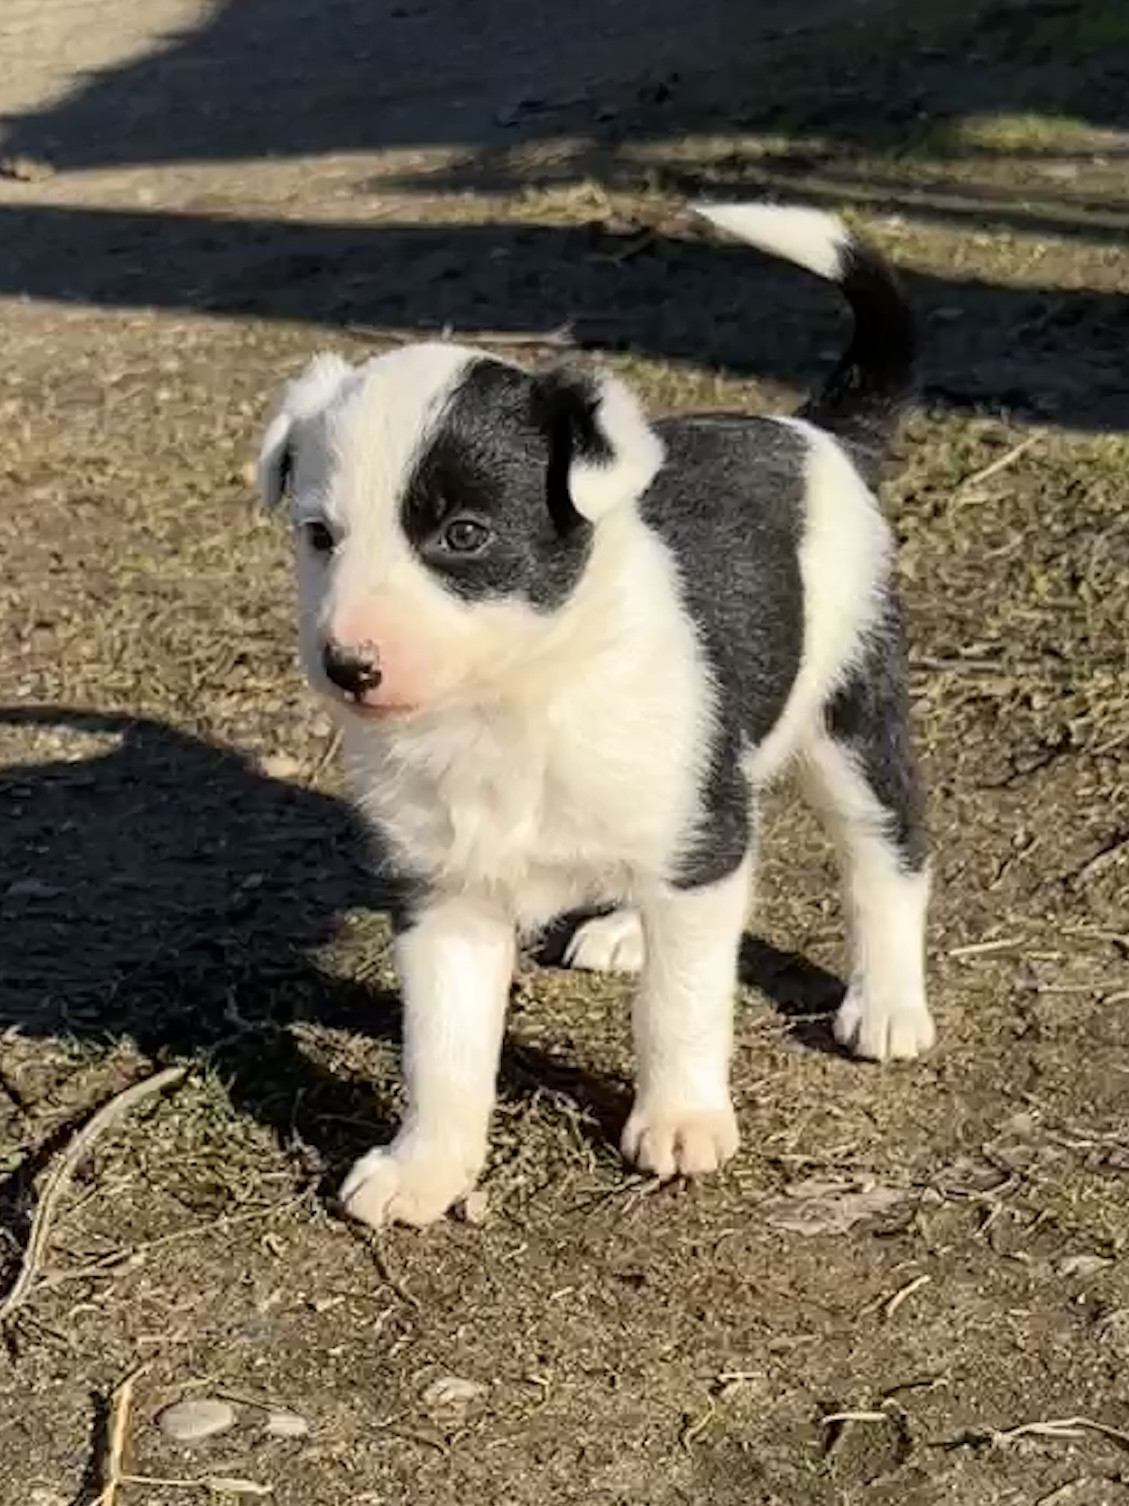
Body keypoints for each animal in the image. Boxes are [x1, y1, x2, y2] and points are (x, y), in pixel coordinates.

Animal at [258, 200, 939, 1228]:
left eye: (464, 535)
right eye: (318, 536)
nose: (349, 666)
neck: (511, 704)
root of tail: (813, 432)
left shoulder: (699, 849)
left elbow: (681, 1004)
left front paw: (681, 1116)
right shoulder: (445, 891)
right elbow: (442, 1046)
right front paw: (428, 1164)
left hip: (849, 715)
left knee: (886, 856)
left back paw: (889, 1000)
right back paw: (625, 928)